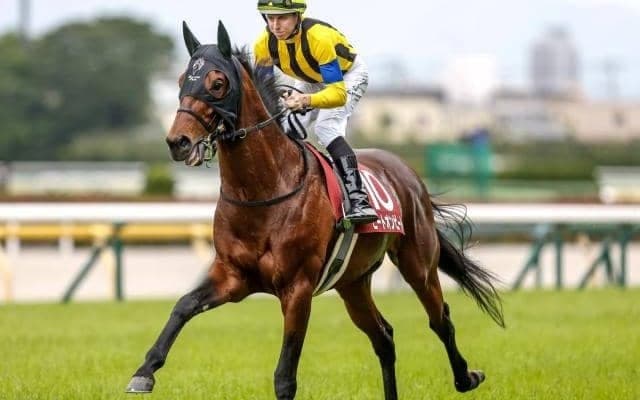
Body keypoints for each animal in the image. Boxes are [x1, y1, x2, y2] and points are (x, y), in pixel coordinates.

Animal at [126, 21, 504, 400]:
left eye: (217, 83)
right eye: (180, 80)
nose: (178, 142)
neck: (264, 190)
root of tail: (408, 174)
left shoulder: (298, 288)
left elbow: (285, 377)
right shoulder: (233, 277)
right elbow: (183, 306)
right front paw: (144, 372)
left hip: (417, 264)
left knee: (440, 319)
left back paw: (467, 377)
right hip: (352, 282)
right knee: (384, 337)